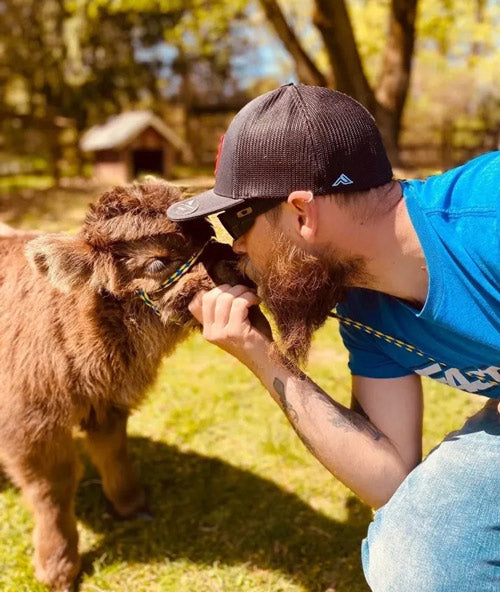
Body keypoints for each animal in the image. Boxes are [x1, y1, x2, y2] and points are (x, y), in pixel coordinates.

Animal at [0, 180, 248, 592]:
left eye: (209, 233)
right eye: (156, 261)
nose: (235, 263)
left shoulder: (106, 405)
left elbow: (113, 452)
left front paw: (131, 505)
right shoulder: (29, 423)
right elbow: (53, 488)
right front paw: (59, 568)